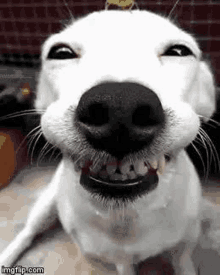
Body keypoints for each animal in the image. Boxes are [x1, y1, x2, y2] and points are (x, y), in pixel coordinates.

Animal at [0, 9, 218, 274]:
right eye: (60, 53)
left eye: (179, 51)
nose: (120, 107)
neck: (126, 217)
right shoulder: (120, 261)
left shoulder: (184, 246)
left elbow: (185, 262)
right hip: (45, 205)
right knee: (28, 232)